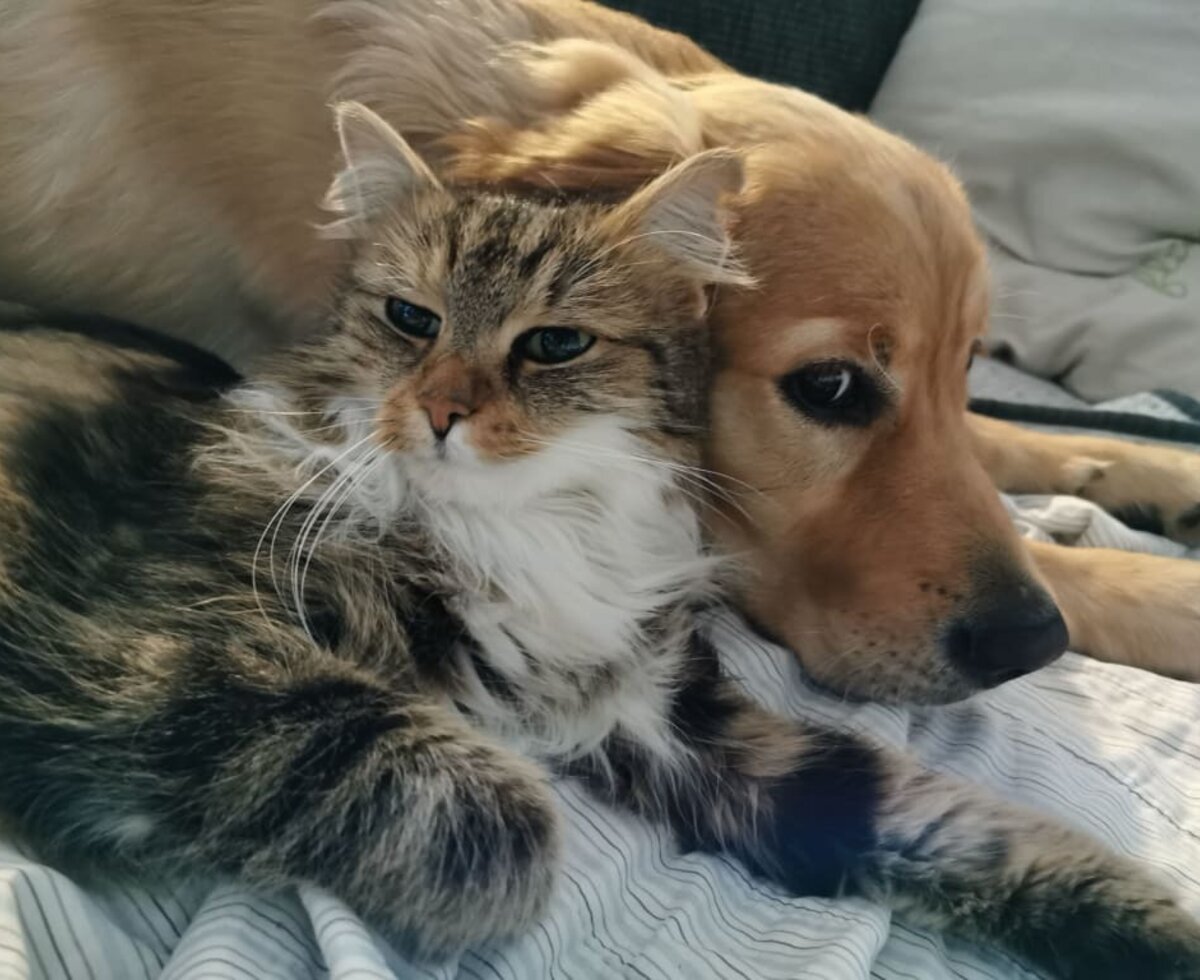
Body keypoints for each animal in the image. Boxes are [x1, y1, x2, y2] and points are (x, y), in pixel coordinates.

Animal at [0, 0, 1195, 705]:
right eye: (831, 387)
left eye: (967, 362)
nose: (1027, 644)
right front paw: (1165, 592)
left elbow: (999, 442)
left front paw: (1141, 468)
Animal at [0, 103, 1195, 974]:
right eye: (411, 321)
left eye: (555, 344)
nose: (440, 409)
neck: (531, 523)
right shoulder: (162, 645)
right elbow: (493, 811)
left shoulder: (683, 718)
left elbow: (954, 823)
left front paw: (1156, 934)